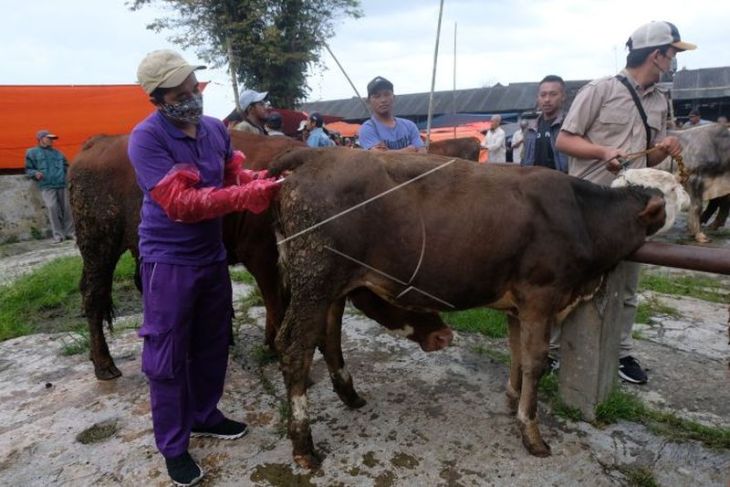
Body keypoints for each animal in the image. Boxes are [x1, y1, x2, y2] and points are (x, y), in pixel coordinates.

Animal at [68, 132, 450, 382]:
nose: (441, 335)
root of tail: (99, 142)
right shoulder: (264, 257)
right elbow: (277, 303)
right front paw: (278, 347)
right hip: (98, 242)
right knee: (94, 295)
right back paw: (103, 363)